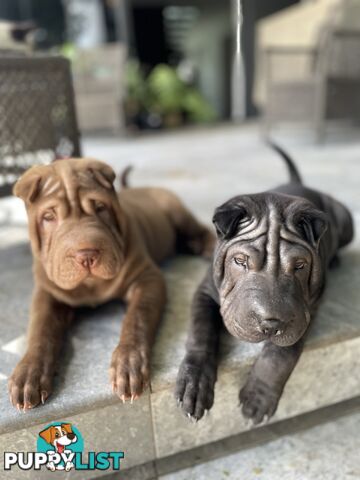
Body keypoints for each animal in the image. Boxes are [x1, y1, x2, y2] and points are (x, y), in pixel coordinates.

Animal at [9, 157, 214, 408]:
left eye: (100, 207)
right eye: (49, 217)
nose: (86, 255)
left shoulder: (147, 278)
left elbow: (137, 318)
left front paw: (128, 364)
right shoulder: (47, 293)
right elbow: (41, 329)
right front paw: (29, 373)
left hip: (175, 210)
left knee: (200, 228)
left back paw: (209, 246)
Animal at [176, 143, 352, 424]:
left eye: (300, 266)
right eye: (240, 260)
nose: (270, 324)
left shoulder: (306, 311)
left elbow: (280, 353)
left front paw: (258, 397)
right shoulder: (205, 292)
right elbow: (200, 331)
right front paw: (194, 385)